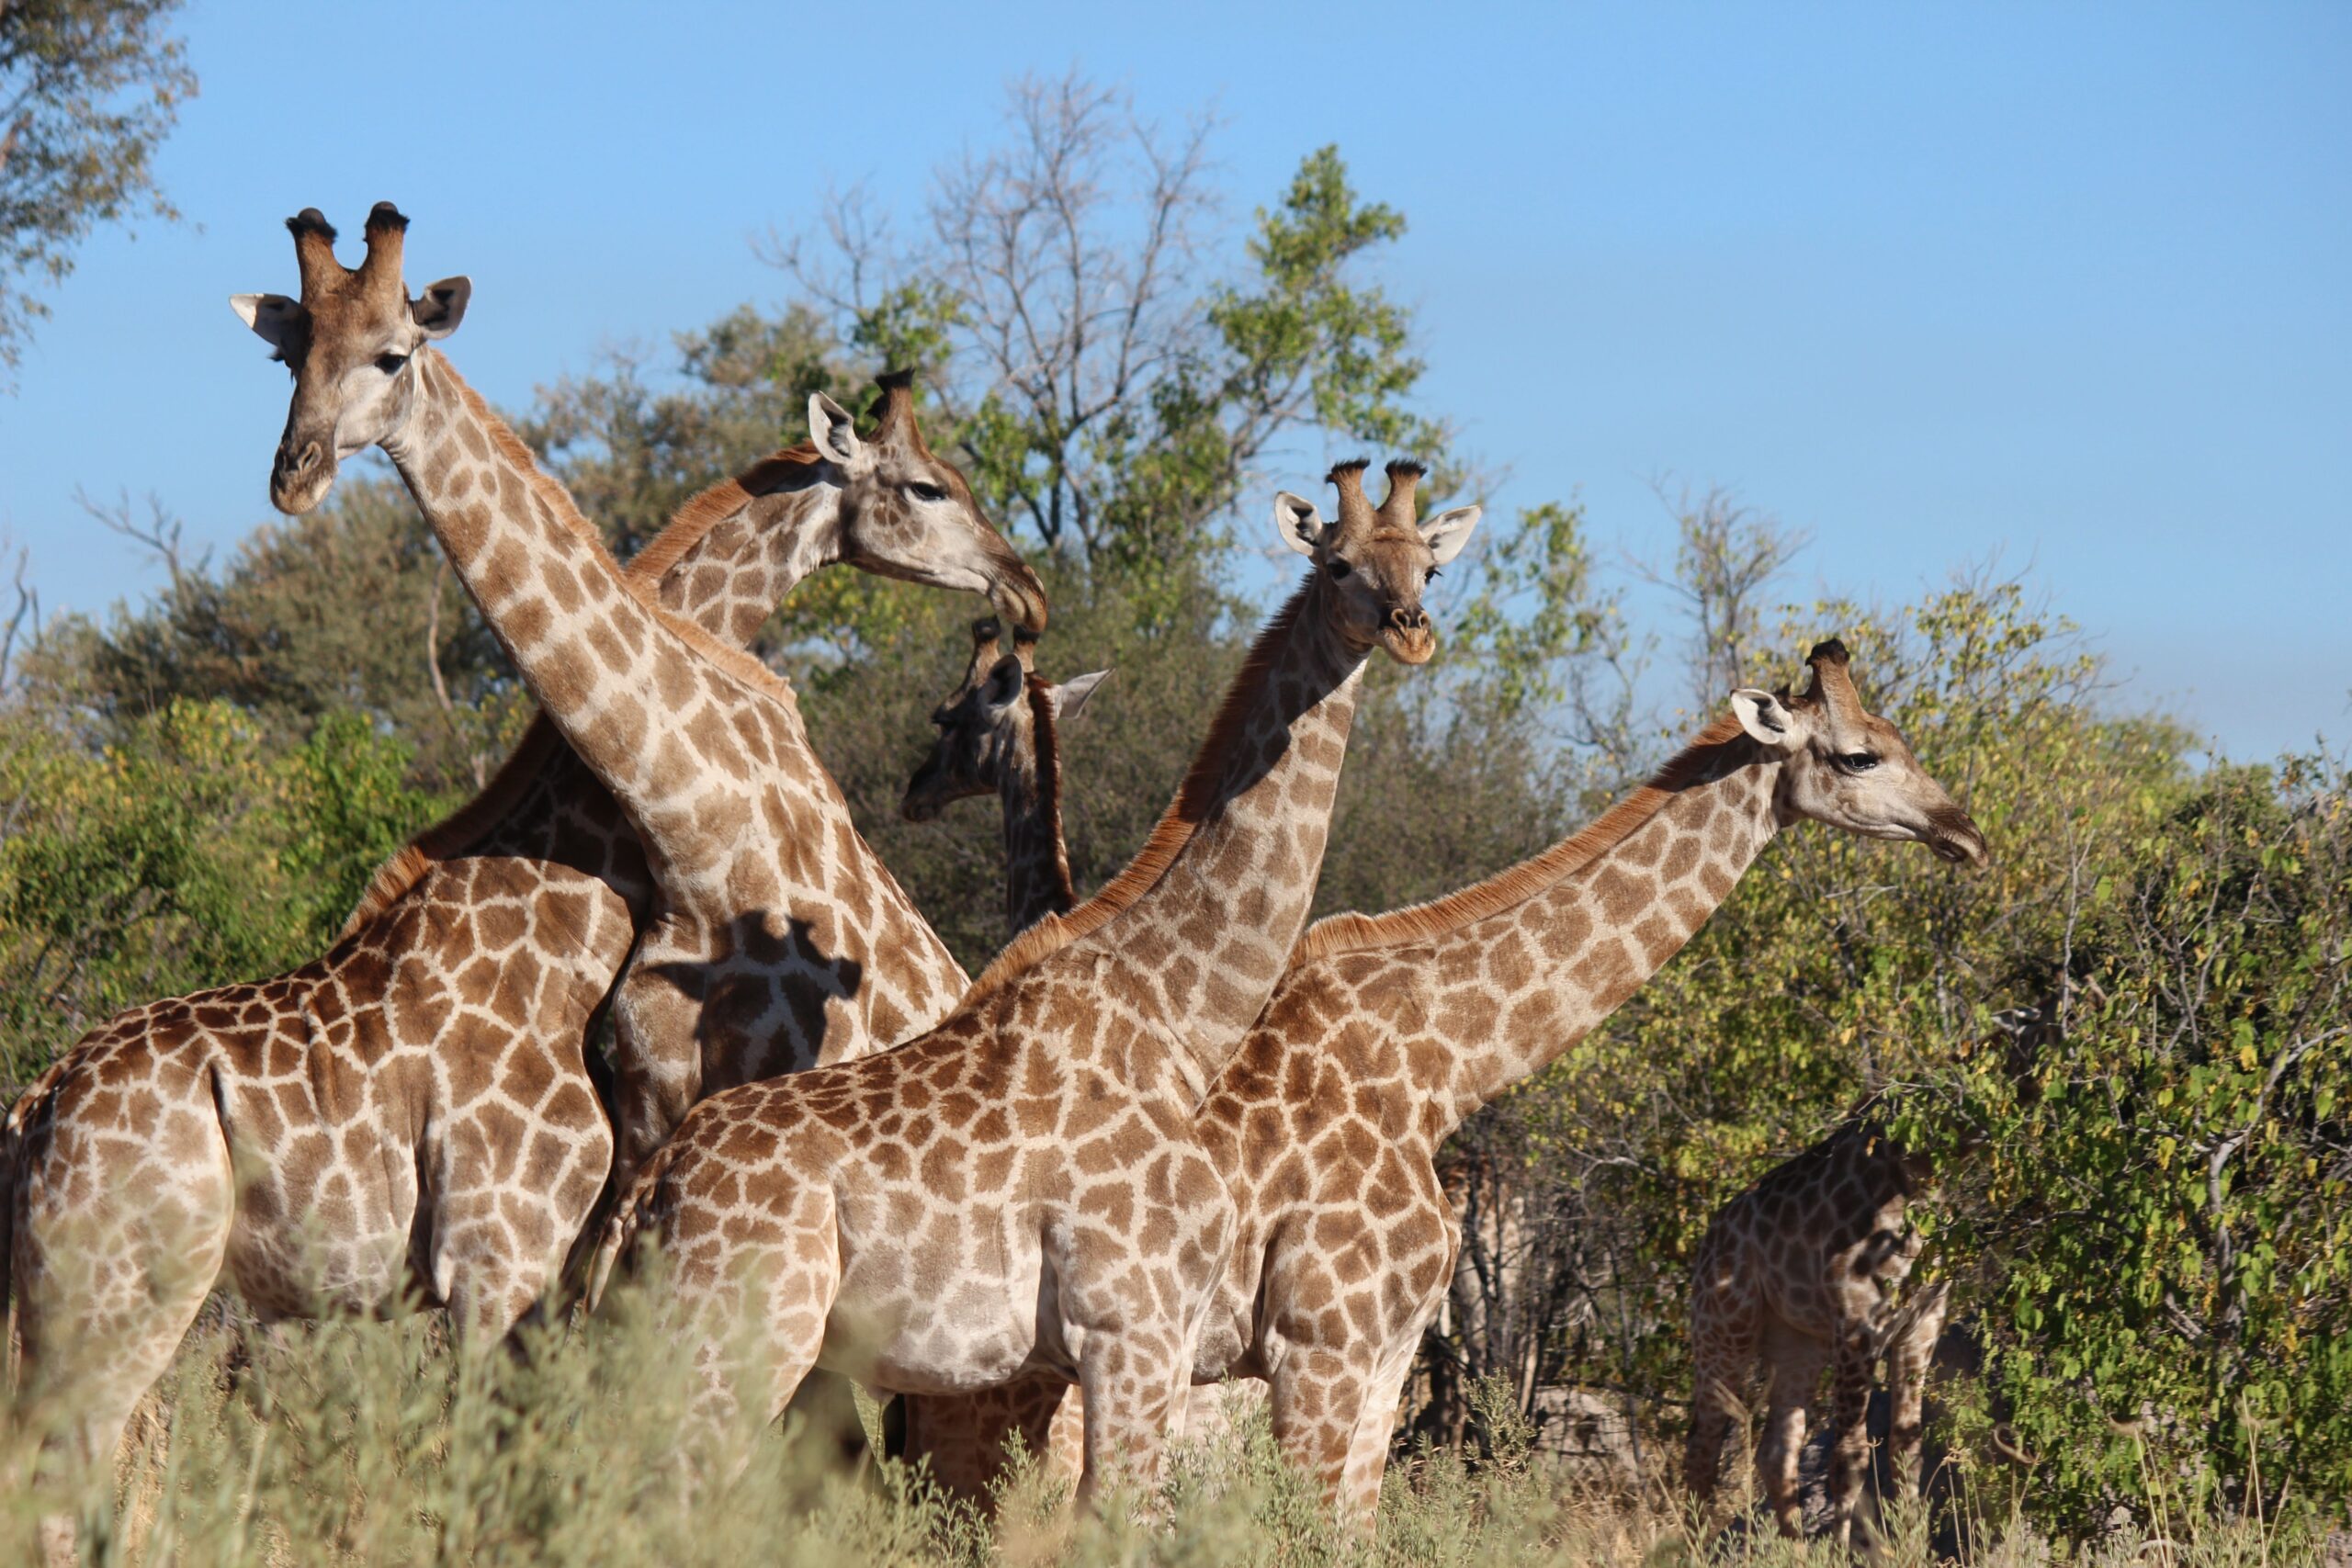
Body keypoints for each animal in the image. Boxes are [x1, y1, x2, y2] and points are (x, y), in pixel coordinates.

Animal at [591, 459, 1480, 1500]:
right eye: (1337, 563)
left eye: (1428, 565)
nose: (1410, 629)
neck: (1181, 1017)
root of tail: (652, 1189)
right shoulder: (1131, 1327)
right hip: (738, 1338)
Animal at [1685, 1118, 1954, 1543]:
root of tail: (1707, 1239)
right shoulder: (1859, 1324)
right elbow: (1850, 1454)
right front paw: (1841, 1549)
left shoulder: (1926, 1318)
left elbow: (1907, 1448)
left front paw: (1914, 1546)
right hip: (1724, 1330)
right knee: (1702, 1448)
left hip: (1797, 1342)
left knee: (1776, 1452)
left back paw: (1794, 1549)